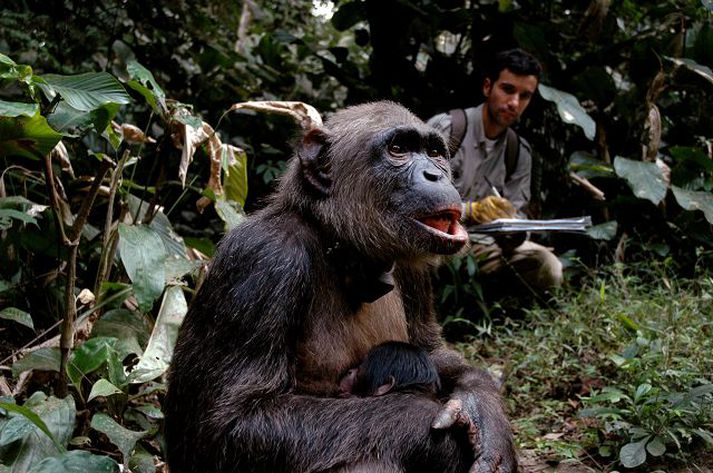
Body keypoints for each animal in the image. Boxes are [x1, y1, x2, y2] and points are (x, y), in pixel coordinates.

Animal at [164, 101, 516, 470]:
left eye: (435, 153)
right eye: (398, 149)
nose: (436, 174)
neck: (346, 252)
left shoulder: (414, 272)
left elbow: (431, 350)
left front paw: (485, 417)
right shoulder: (262, 259)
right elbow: (229, 423)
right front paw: (437, 433)